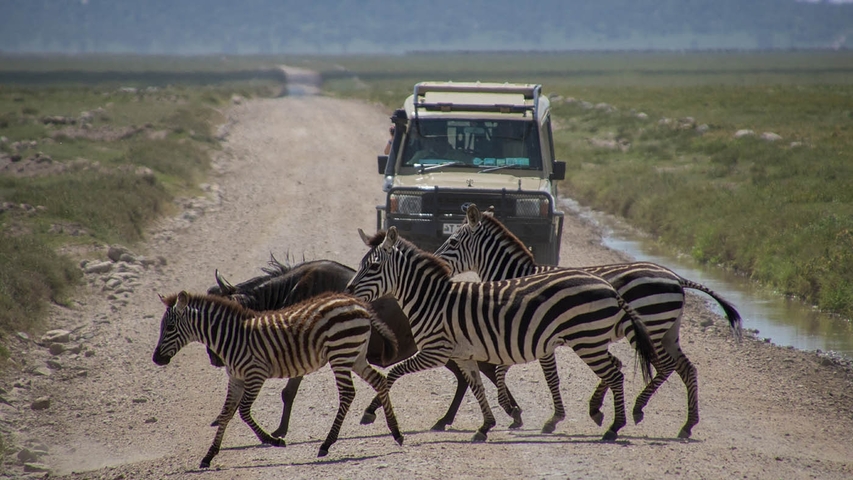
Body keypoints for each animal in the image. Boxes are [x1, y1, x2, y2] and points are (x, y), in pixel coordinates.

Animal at [151, 291, 404, 468]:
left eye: (170, 327)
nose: (156, 359)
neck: (232, 338)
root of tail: (357, 302)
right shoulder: (236, 378)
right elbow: (225, 414)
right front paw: (209, 456)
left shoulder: (256, 373)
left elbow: (243, 411)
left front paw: (273, 440)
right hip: (355, 355)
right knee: (379, 381)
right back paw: (396, 433)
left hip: (341, 353)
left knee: (348, 394)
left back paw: (326, 444)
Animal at [206, 256, 525, 436]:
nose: (214, 359)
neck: (294, 291)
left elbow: (288, 392)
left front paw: (280, 430)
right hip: (445, 353)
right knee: (465, 378)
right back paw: (448, 419)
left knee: (484, 371)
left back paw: (512, 411)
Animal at [345, 226, 657, 442]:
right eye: (360, 264)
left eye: (373, 266)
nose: (347, 290)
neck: (432, 300)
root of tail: (610, 288)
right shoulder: (463, 354)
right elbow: (477, 387)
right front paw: (486, 426)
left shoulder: (435, 352)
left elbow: (392, 374)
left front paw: (370, 411)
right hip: (591, 340)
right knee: (615, 370)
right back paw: (604, 417)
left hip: (587, 340)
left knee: (614, 374)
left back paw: (614, 428)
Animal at [434, 204, 743, 438]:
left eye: (452, 241)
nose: (436, 263)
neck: (518, 277)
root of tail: (676, 277)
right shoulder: (524, 334)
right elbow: (507, 370)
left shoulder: (532, 335)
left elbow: (539, 376)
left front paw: (532, 415)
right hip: (668, 331)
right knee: (687, 369)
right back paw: (687, 425)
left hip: (650, 328)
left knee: (665, 367)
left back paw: (638, 409)